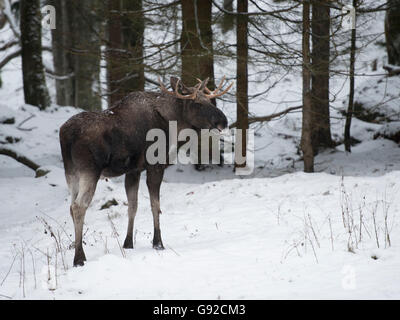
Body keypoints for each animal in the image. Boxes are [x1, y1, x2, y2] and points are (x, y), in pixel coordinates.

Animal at [60, 76, 233, 266]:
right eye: (197, 103)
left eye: (210, 100)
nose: (223, 121)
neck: (173, 125)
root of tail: (66, 135)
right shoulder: (155, 164)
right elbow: (155, 205)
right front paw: (158, 243)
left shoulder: (133, 170)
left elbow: (132, 206)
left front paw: (128, 243)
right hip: (89, 170)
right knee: (78, 207)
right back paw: (79, 258)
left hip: (71, 173)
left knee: (71, 206)